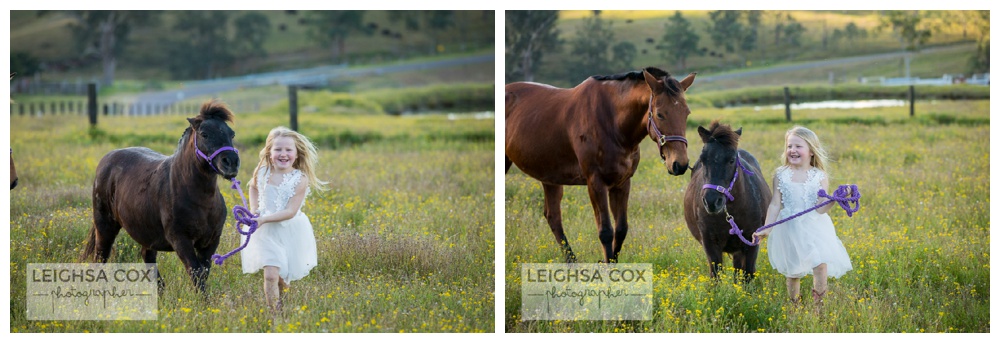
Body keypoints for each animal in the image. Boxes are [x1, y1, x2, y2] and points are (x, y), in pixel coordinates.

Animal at [83, 99, 240, 292]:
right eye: (204, 134)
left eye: (231, 134)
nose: (231, 162)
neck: (200, 200)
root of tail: (107, 159)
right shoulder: (181, 241)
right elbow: (195, 272)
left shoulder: (210, 242)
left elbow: (203, 273)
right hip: (105, 226)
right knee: (100, 257)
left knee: (147, 256)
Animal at [508, 67, 696, 264]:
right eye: (660, 114)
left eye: (686, 113)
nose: (680, 164)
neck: (612, 122)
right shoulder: (596, 183)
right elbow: (605, 231)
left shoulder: (622, 183)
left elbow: (621, 229)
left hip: (551, 178)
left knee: (553, 217)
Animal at [684, 121, 768, 282]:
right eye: (703, 160)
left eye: (731, 160)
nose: (711, 201)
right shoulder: (710, 244)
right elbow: (715, 276)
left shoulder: (751, 243)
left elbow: (748, 274)